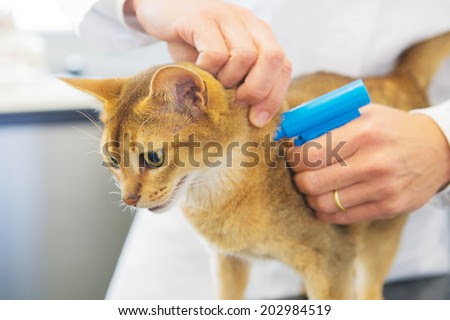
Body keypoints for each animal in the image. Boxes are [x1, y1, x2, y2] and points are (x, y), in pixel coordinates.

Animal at [62, 31, 450, 298]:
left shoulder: (332, 262)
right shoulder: (227, 262)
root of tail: (399, 77)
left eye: (153, 158)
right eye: (112, 161)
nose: (128, 199)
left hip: (379, 238)